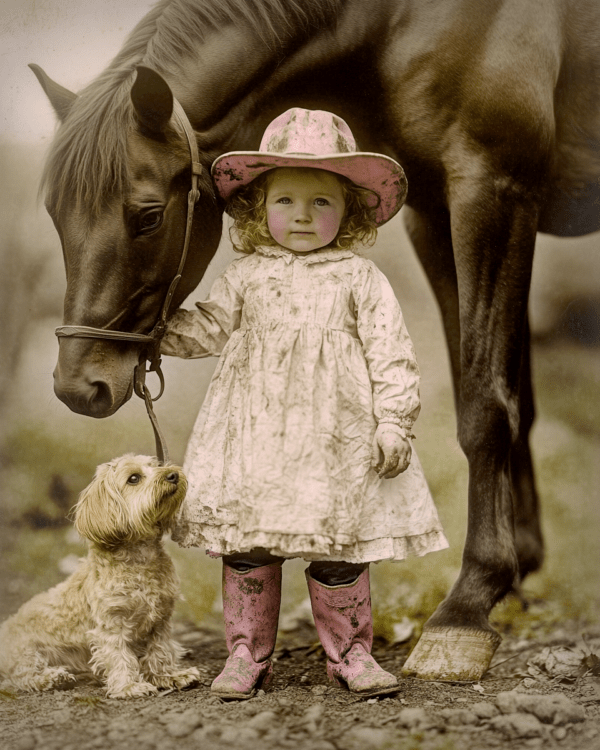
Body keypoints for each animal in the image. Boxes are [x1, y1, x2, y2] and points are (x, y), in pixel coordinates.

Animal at [0, 456, 202, 704]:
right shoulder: (111, 625)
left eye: (156, 465)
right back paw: (53, 678)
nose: (173, 475)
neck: (140, 560)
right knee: (20, 678)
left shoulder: (160, 621)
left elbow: (160, 651)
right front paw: (129, 687)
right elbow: (119, 656)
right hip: (26, 652)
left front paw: (168, 676)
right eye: (133, 478)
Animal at [29, 0, 600, 680]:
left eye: (147, 215)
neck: (405, 23)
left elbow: (488, 406)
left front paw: (468, 606)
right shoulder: (436, 211)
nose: (76, 385)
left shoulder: (493, 190)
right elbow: (501, 394)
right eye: (56, 215)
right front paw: (512, 576)